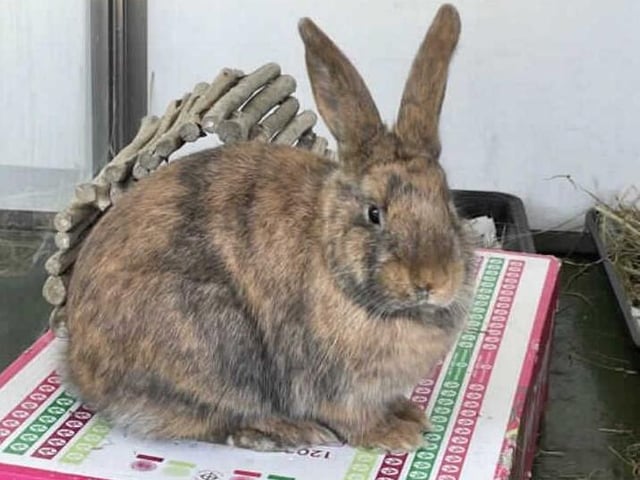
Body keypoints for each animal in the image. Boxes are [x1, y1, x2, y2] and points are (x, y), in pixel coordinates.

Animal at [62, 3, 474, 453]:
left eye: (447, 202)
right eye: (374, 213)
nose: (432, 281)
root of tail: (77, 363)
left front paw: (410, 413)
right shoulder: (334, 386)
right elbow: (352, 419)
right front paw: (396, 434)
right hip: (217, 343)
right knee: (213, 419)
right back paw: (285, 430)